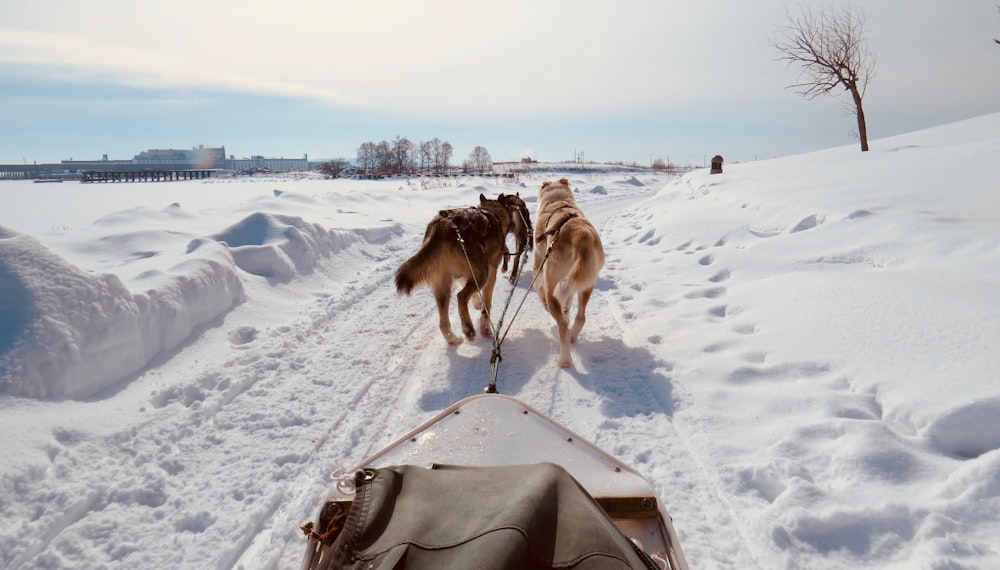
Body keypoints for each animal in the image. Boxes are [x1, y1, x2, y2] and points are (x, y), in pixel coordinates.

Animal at [536, 176, 604, 364]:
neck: (557, 200)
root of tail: (581, 236)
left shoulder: (538, 266)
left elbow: (537, 287)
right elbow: (567, 304)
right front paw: (566, 311)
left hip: (553, 286)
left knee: (563, 326)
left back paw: (565, 360)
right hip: (586, 284)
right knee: (580, 317)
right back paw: (573, 337)